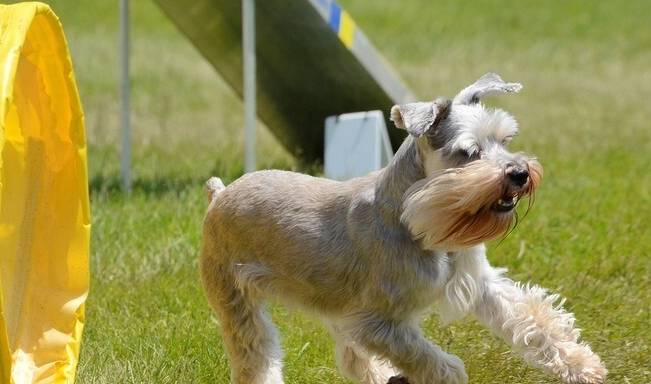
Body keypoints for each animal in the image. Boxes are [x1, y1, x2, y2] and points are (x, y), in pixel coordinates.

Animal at [201, 73, 608, 382]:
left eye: (504, 140)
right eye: (468, 153)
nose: (520, 173)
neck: (419, 220)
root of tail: (220, 195)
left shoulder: (480, 284)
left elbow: (533, 319)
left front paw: (583, 365)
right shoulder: (379, 324)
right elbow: (434, 363)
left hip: (333, 306)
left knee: (354, 359)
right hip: (238, 303)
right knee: (256, 356)